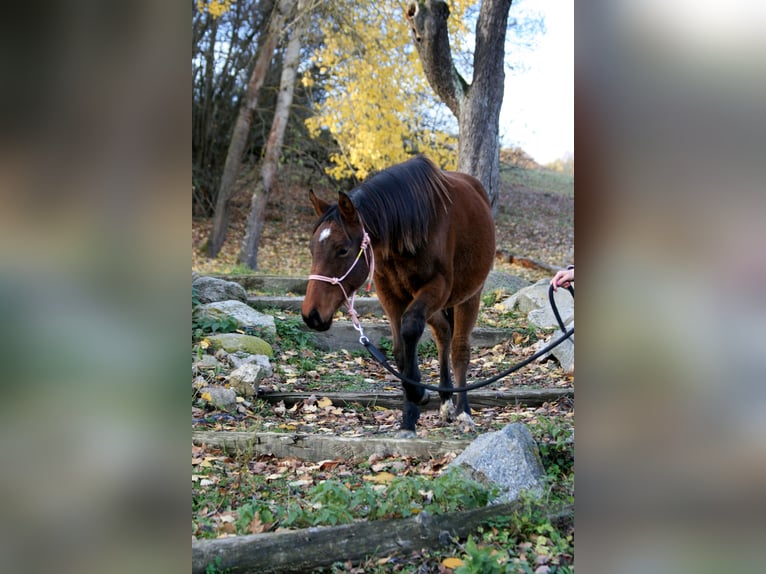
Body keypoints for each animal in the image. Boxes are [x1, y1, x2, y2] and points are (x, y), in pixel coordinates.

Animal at [304, 156, 496, 436]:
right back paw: (446, 401)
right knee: (442, 334)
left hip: (468, 297)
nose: (311, 315)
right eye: (312, 248)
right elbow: (400, 350)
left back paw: (463, 411)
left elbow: (411, 329)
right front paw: (409, 417)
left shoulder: (437, 287)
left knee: (459, 348)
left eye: (342, 250)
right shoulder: (390, 295)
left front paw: (419, 393)